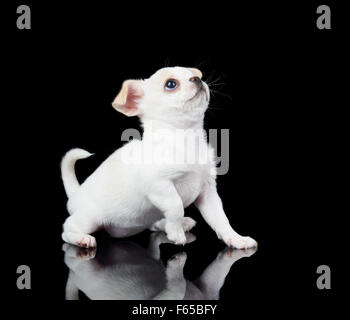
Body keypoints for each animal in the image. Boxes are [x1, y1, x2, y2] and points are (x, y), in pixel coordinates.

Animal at [60, 66, 258, 249]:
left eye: (196, 75)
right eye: (171, 84)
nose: (197, 79)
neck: (186, 139)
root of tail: (76, 195)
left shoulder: (208, 192)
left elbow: (220, 218)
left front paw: (236, 238)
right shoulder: (159, 186)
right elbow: (176, 206)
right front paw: (176, 232)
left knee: (152, 226)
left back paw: (176, 223)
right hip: (89, 218)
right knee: (67, 229)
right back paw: (81, 238)